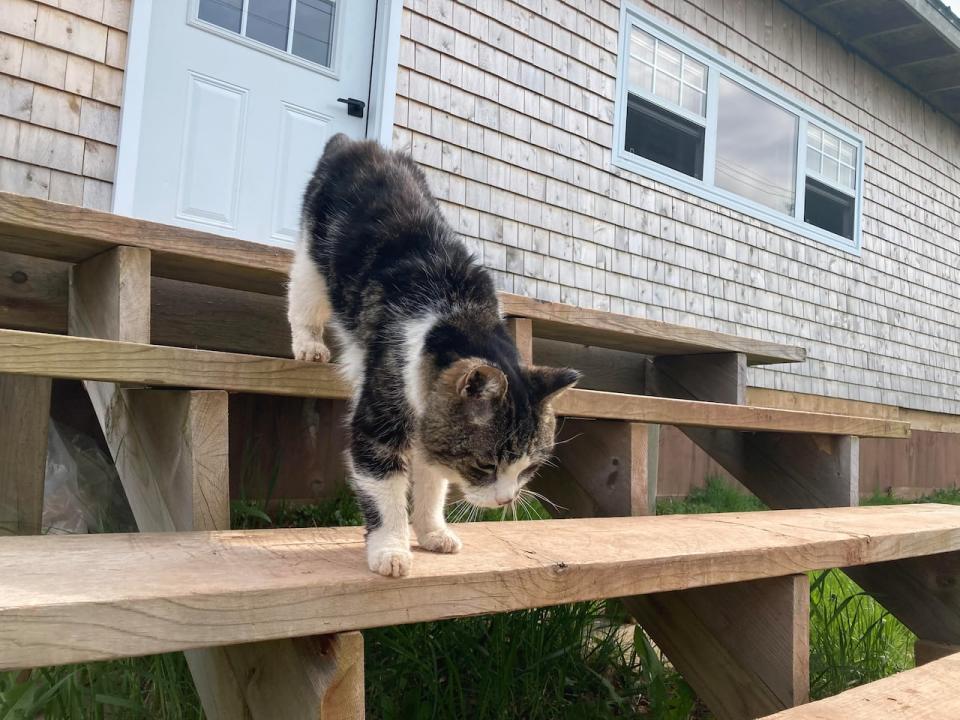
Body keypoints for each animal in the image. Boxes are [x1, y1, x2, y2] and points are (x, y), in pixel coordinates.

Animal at [286, 132, 576, 576]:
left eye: (528, 468)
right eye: (484, 465)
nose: (506, 500)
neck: (455, 313)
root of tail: (356, 142)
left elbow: (432, 478)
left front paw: (432, 533)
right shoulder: (380, 413)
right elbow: (383, 487)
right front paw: (391, 550)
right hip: (312, 253)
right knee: (301, 295)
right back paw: (308, 346)